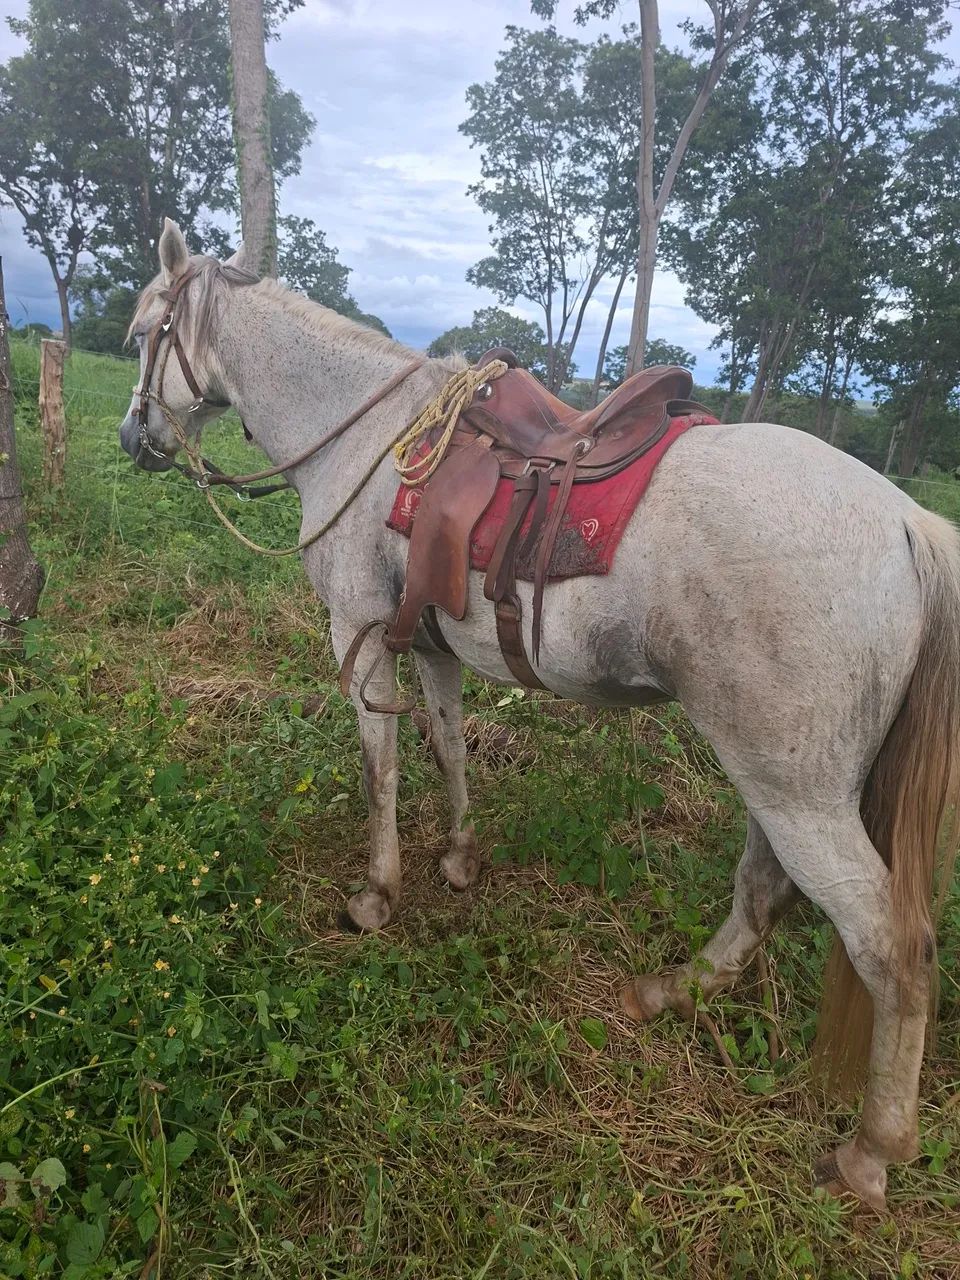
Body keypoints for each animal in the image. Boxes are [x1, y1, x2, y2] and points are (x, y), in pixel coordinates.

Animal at [119, 218, 960, 1213]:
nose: (134, 436)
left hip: (798, 792)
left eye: (142, 334)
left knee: (890, 946)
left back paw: (871, 1149)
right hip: (780, 775)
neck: (362, 434)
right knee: (764, 887)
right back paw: (677, 992)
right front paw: (458, 857)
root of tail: (908, 524)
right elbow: (449, 748)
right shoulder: (432, 644)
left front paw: (378, 892)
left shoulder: (357, 635)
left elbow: (381, 769)